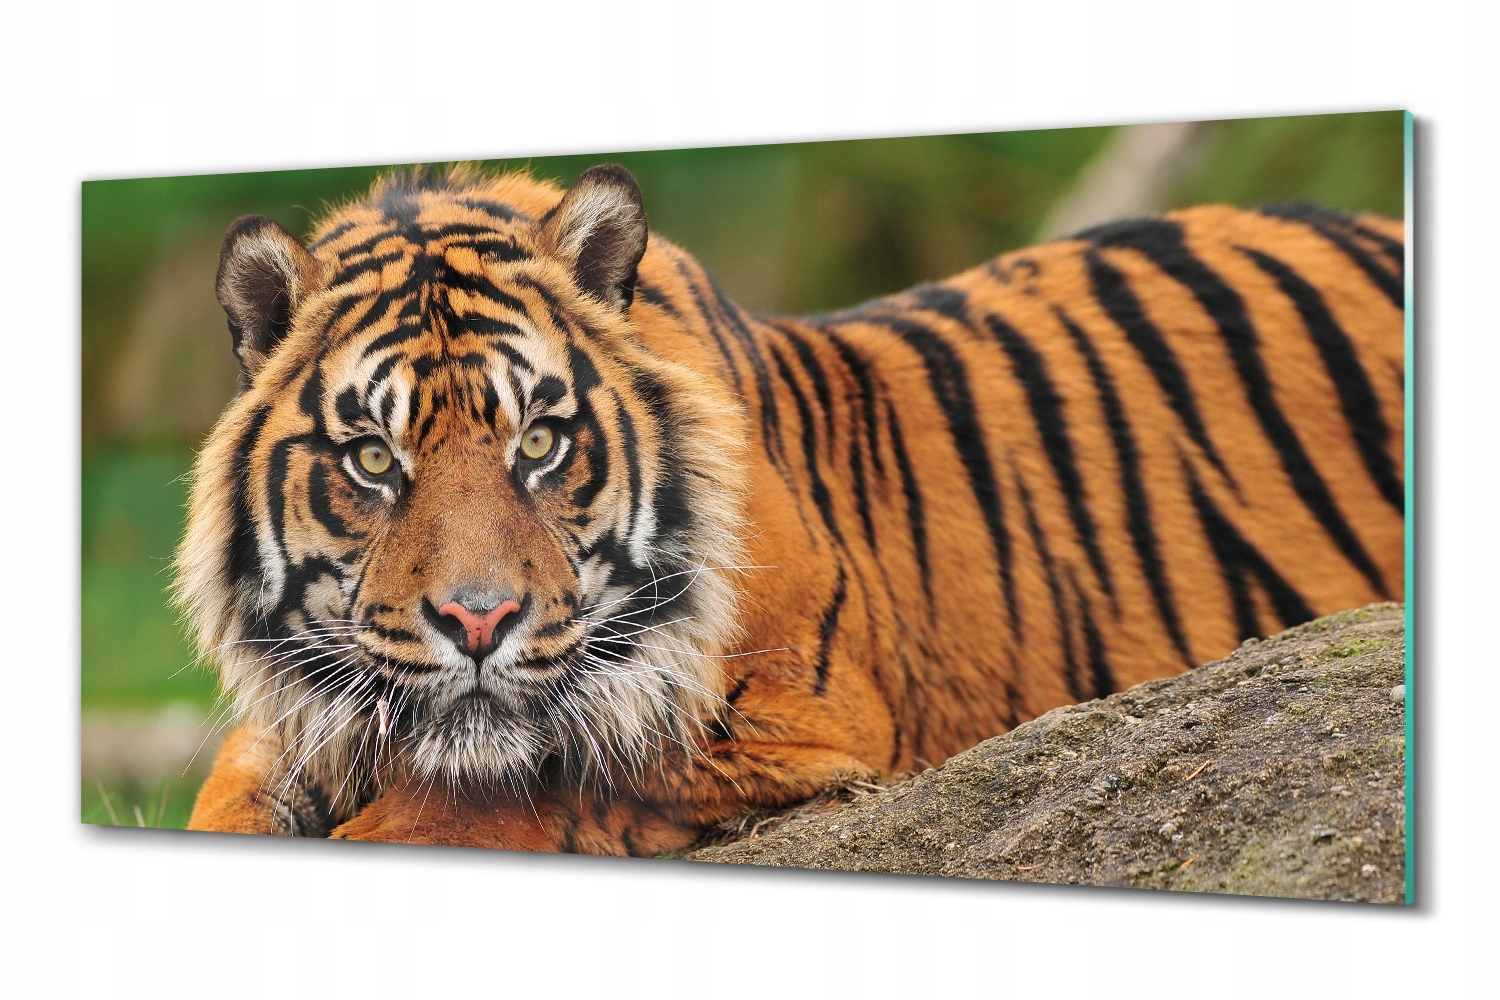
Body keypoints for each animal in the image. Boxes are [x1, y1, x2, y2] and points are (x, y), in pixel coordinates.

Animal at [181, 162, 1405, 853]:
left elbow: (528, 788)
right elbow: (232, 795)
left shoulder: (794, 724)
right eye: (373, 459)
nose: (477, 622)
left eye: (539, 442)